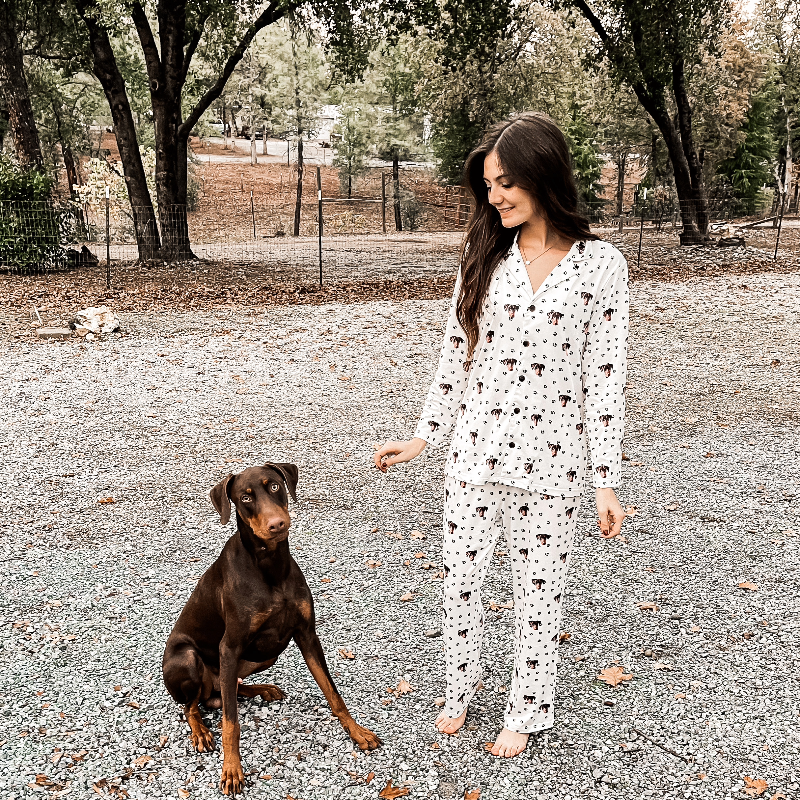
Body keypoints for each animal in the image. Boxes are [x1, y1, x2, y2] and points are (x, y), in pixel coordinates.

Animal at [162, 462, 382, 792]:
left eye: (275, 486)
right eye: (245, 498)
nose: (277, 524)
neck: (270, 565)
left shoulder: (306, 634)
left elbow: (333, 693)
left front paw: (357, 731)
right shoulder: (229, 646)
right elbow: (231, 723)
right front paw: (232, 770)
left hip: (267, 653)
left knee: (226, 691)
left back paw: (263, 688)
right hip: (187, 658)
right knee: (194, 705)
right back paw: (200, 731)